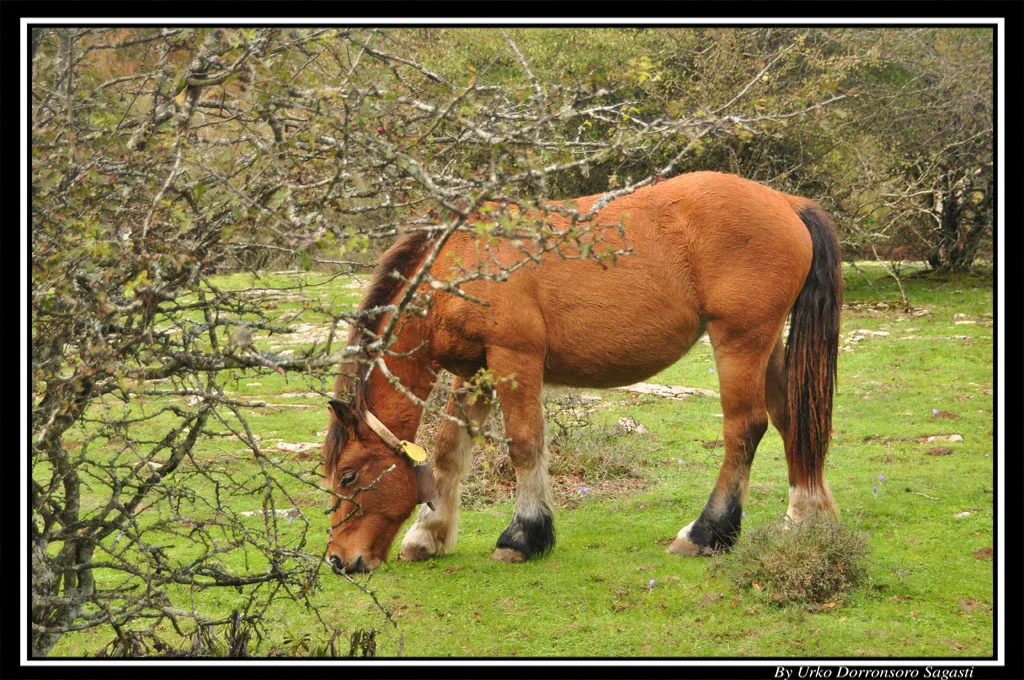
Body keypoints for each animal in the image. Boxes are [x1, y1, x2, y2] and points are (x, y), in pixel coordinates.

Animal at [322, 170, 842, 573]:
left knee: (745, 428)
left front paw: (523, 536)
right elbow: (451, 451)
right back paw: (806, 517)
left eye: (347, 477)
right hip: (766, 345)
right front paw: (427, 535)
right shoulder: (474, 372)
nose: (339, 560)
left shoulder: (514, 359)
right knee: (791, 420)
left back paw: (706, 532)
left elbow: (525, 444)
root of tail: (786, 203)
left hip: (739, 341)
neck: (466, 264)